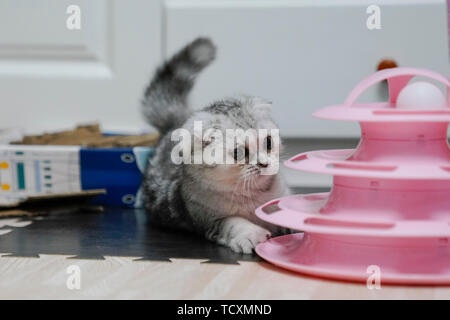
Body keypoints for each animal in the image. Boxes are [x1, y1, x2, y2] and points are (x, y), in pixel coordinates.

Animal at [142, 37, 288, 254]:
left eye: (268, 142)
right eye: (239, 152)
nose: (264, 163)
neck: (255, 195)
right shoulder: (211, 221)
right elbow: (235, 222)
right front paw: (253, 234)